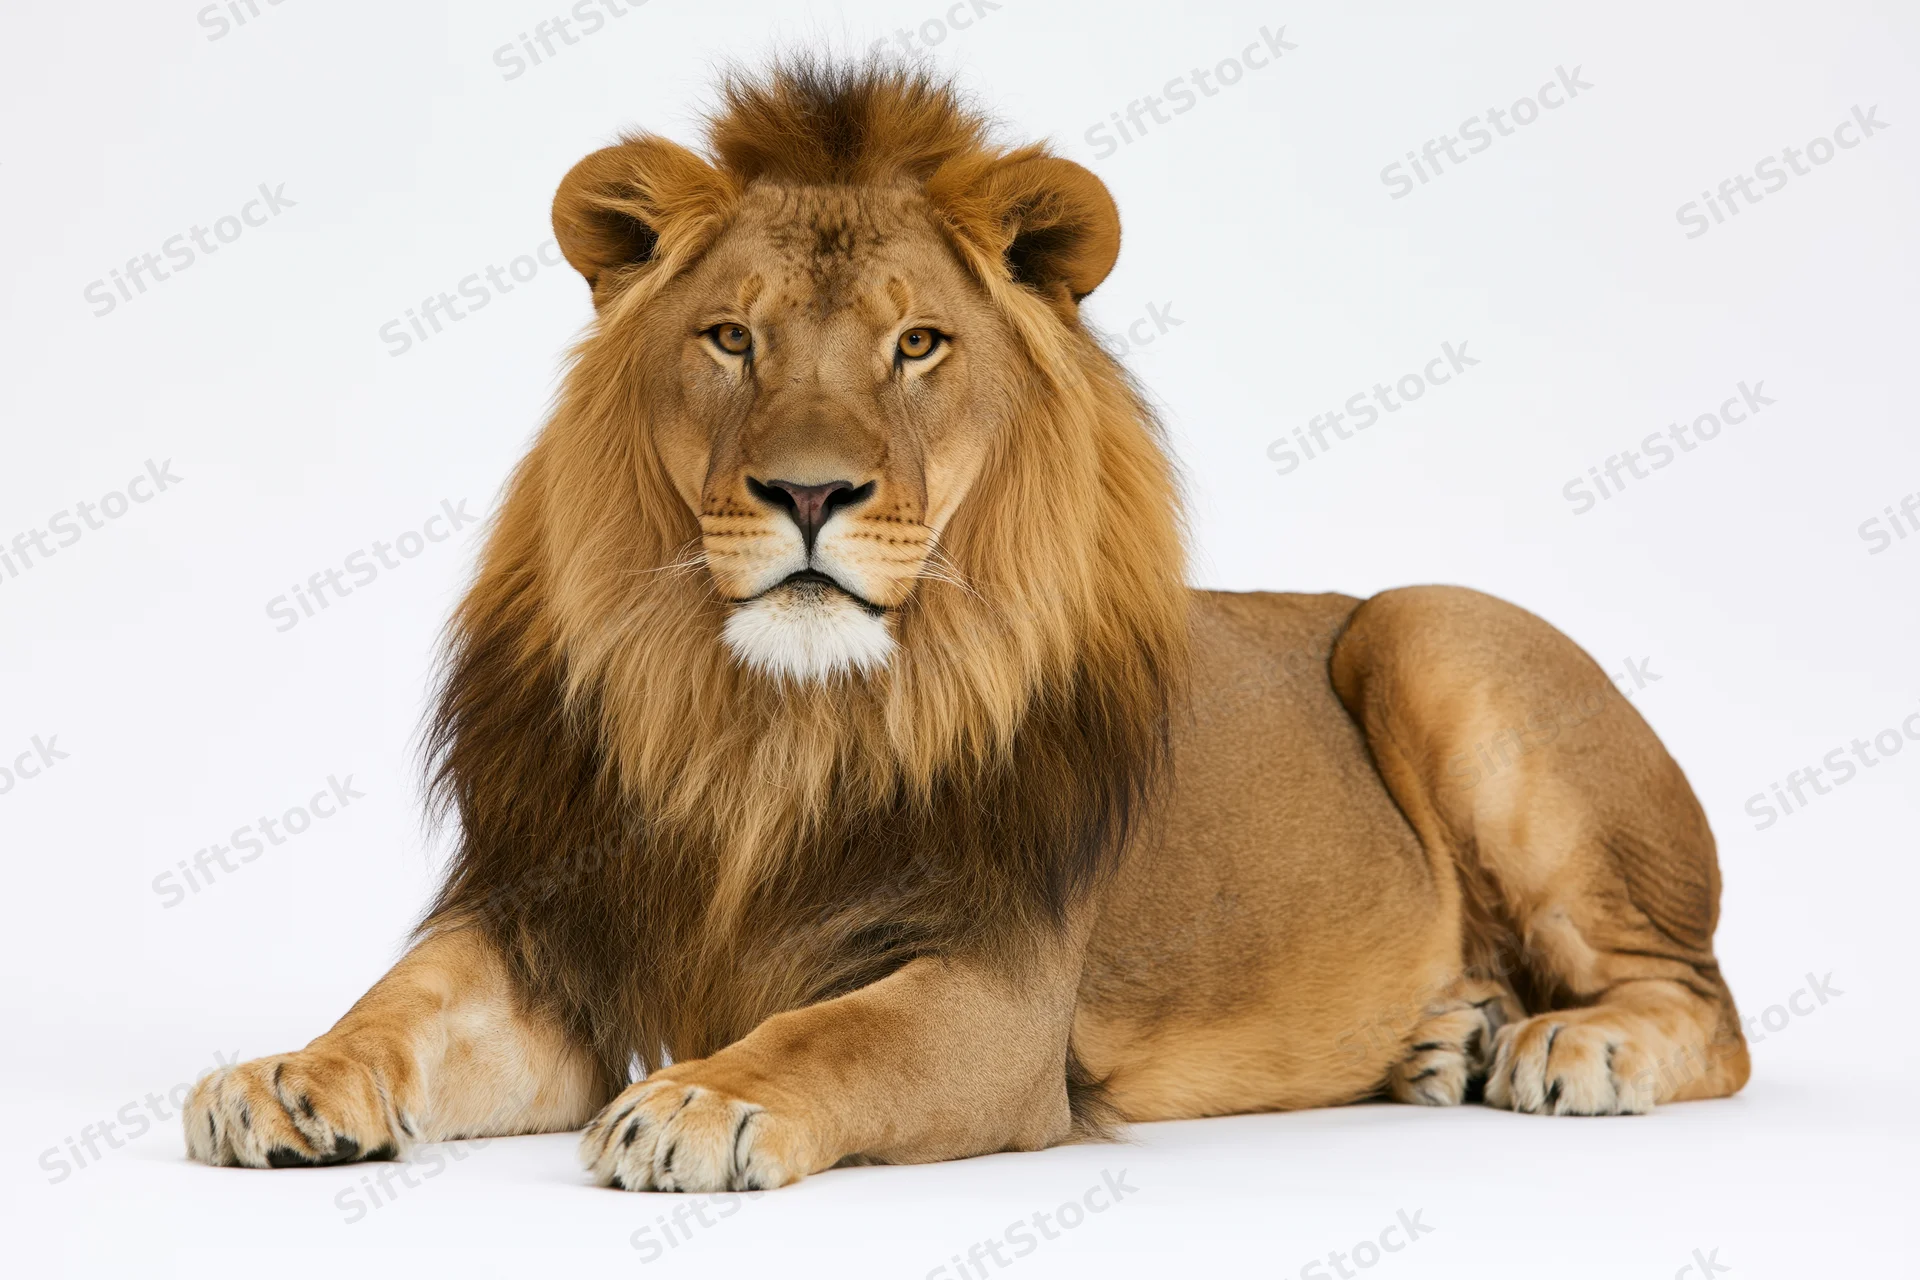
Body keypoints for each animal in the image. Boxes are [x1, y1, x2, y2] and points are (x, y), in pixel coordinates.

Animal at [184, 60, 1748, 1190]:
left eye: (916, 343)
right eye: (732, 337)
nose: (810, 491)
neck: (763, 724)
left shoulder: (999, 998)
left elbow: (837, 1031)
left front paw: (704, 1097)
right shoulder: (551, 929)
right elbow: (401, 1001)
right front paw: (283, 1075)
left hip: (1434, 628)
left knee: (1707, 1008)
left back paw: (1566, 1049)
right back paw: (1447, 1038)